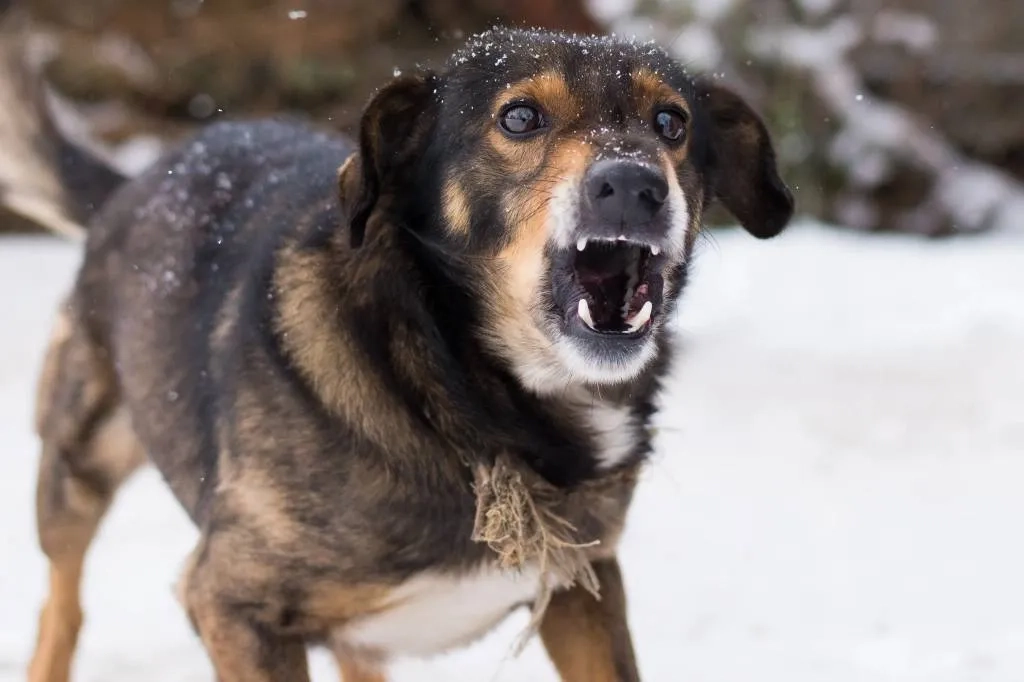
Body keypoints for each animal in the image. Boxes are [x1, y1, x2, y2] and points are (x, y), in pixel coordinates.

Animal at [4, 23, 794, 679]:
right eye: (519, 117)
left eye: (671, 123)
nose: (634, 183)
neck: (455, 395)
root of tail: (140, 180)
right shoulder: (231, 604)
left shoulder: (583, 588)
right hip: (76, 465)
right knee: (62, 603)